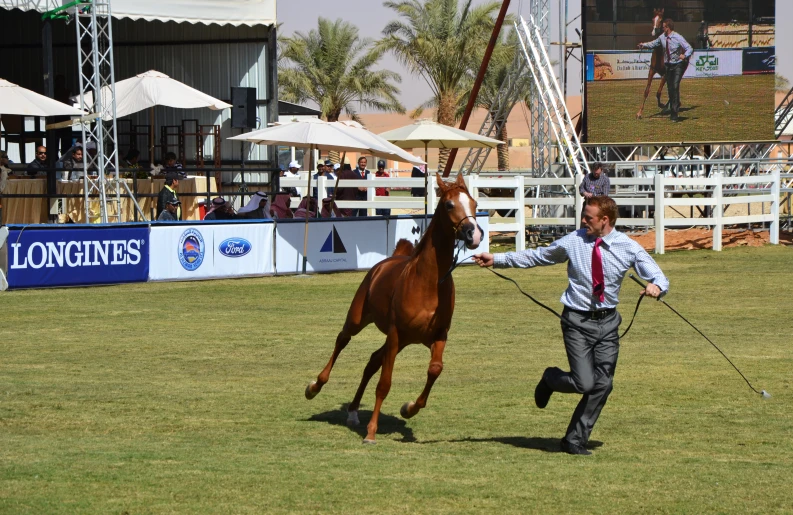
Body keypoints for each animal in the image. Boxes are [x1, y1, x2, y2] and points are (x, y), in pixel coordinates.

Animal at [304, 172, 482, 444]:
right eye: (450, 204)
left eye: (474, 203)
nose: (474, 235)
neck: (428, 282)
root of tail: (384, 263)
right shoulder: (396, 334)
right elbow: (384, 384)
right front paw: (371, 433)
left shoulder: (437, 336)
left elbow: (435, 369)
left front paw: (408, 408)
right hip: (360, 321)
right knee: (342, 341)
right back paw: (315, 387)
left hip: (400, 341)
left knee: (372, 361)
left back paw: (353, 412)